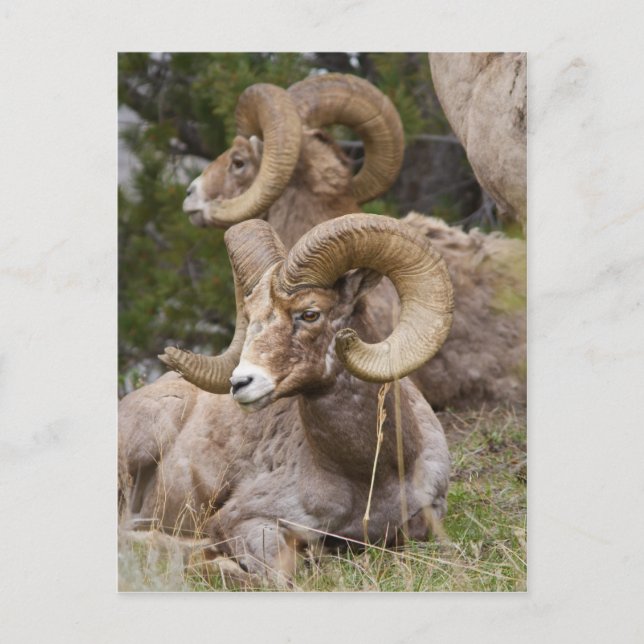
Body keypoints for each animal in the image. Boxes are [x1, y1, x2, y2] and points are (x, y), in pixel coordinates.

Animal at [130, 213, 453, 580]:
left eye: (310, 313)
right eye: (250, 318)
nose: (240, 383)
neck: (369, 476)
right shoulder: (244, 520)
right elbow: (281, 573)